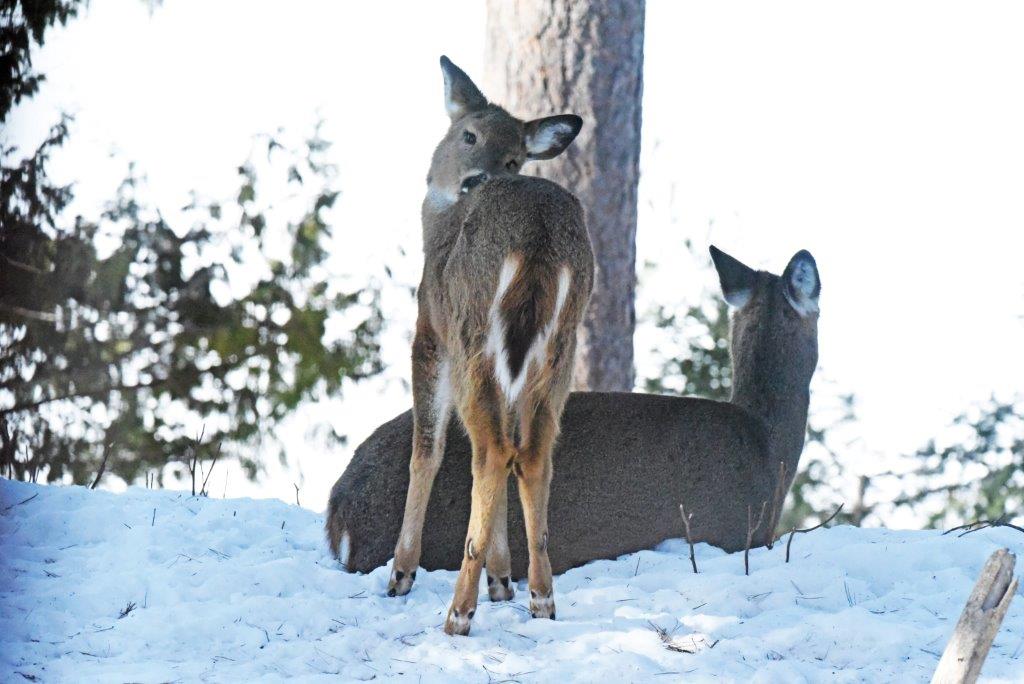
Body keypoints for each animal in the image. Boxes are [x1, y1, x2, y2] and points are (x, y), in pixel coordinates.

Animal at [362, 56, 594, 636]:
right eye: (470, 135)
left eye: (513, 158)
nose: (475, 179)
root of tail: (539, 240)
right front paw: (502, 579)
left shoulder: (429, 332)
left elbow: (427, 447)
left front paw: (401, 574)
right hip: (559, 351)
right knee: (529, 452)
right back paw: (541, 596)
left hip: (472, 334)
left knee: (490, 452)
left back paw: (457, 612)